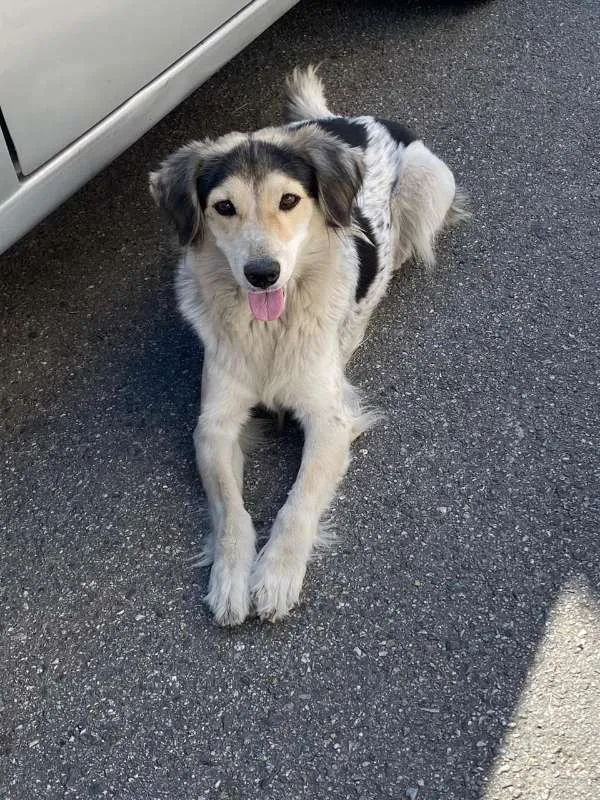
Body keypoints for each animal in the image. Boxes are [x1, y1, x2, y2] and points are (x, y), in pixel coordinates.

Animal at [149, 66, 467, 625]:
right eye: (224, 208)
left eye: (289, 201)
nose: (262, 273)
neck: (270, 332)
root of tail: (350, 119)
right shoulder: (214, 426)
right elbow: (231, 511)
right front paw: (231, 576)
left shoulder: (331, 417)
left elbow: (297, 502)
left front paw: (276, 574)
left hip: (429, 184)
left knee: (413, 238)